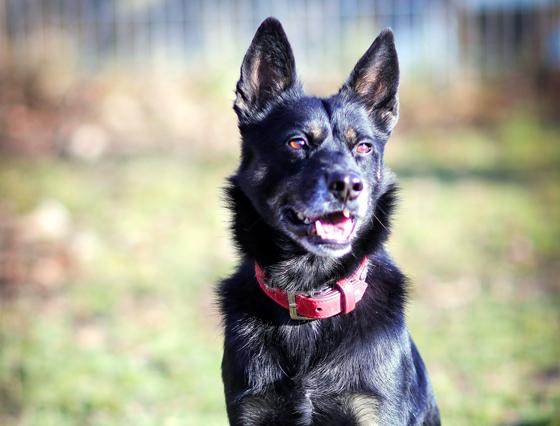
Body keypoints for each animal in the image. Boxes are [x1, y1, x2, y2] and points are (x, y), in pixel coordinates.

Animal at [217, 17, 440, 426]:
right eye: (297, 143)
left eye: (364, 147)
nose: (348, 186)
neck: (310, 293)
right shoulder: (251, 409)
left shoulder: (373, 410)